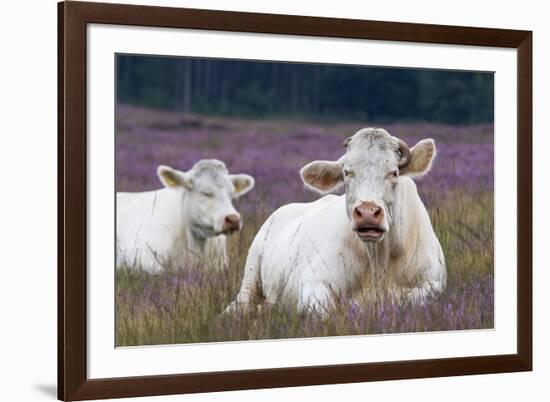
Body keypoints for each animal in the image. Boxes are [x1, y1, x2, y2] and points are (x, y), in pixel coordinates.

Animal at [229, 127, 448, 312]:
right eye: (347, 172)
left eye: (394, 173)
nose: (367, 213)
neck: (379, 260)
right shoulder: (313, 281)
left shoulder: (433, 284)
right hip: (250, 275)